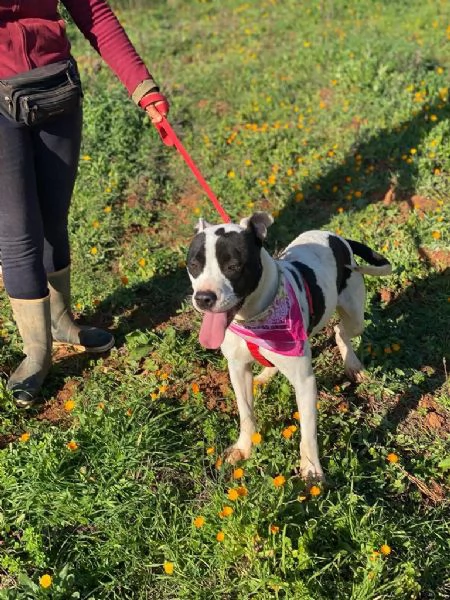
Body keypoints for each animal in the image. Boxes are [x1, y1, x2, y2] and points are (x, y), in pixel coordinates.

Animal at [186, 213, 390, 480]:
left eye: (234, 266)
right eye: (193, 265)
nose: (203, 298)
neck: (253, 317)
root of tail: (337, 237)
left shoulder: (304, 382)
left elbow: (308, 433)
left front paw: (311, 470)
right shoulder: (237, 369)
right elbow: (246, 413)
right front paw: (244, 448)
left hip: (355, 316)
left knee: (340, 331)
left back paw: (352, 364)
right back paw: (265, 375)